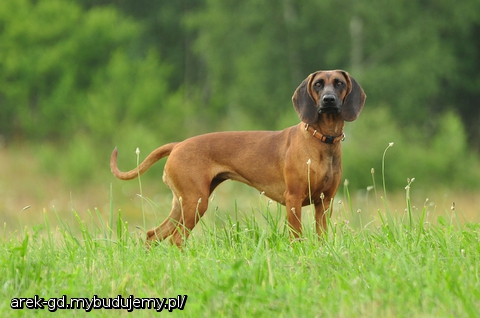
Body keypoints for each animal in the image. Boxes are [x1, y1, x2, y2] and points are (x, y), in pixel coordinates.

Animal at [110, 71, 366, 247]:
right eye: (318, 84)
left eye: (339, 83)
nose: (328, 100)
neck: (321, 140)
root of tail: (178, 145)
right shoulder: (293, 200)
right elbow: (296, 237)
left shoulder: (324, 202)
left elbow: (322, 238)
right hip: (195, 203)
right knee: (176, 240)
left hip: (182, 204)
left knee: (153, 234)